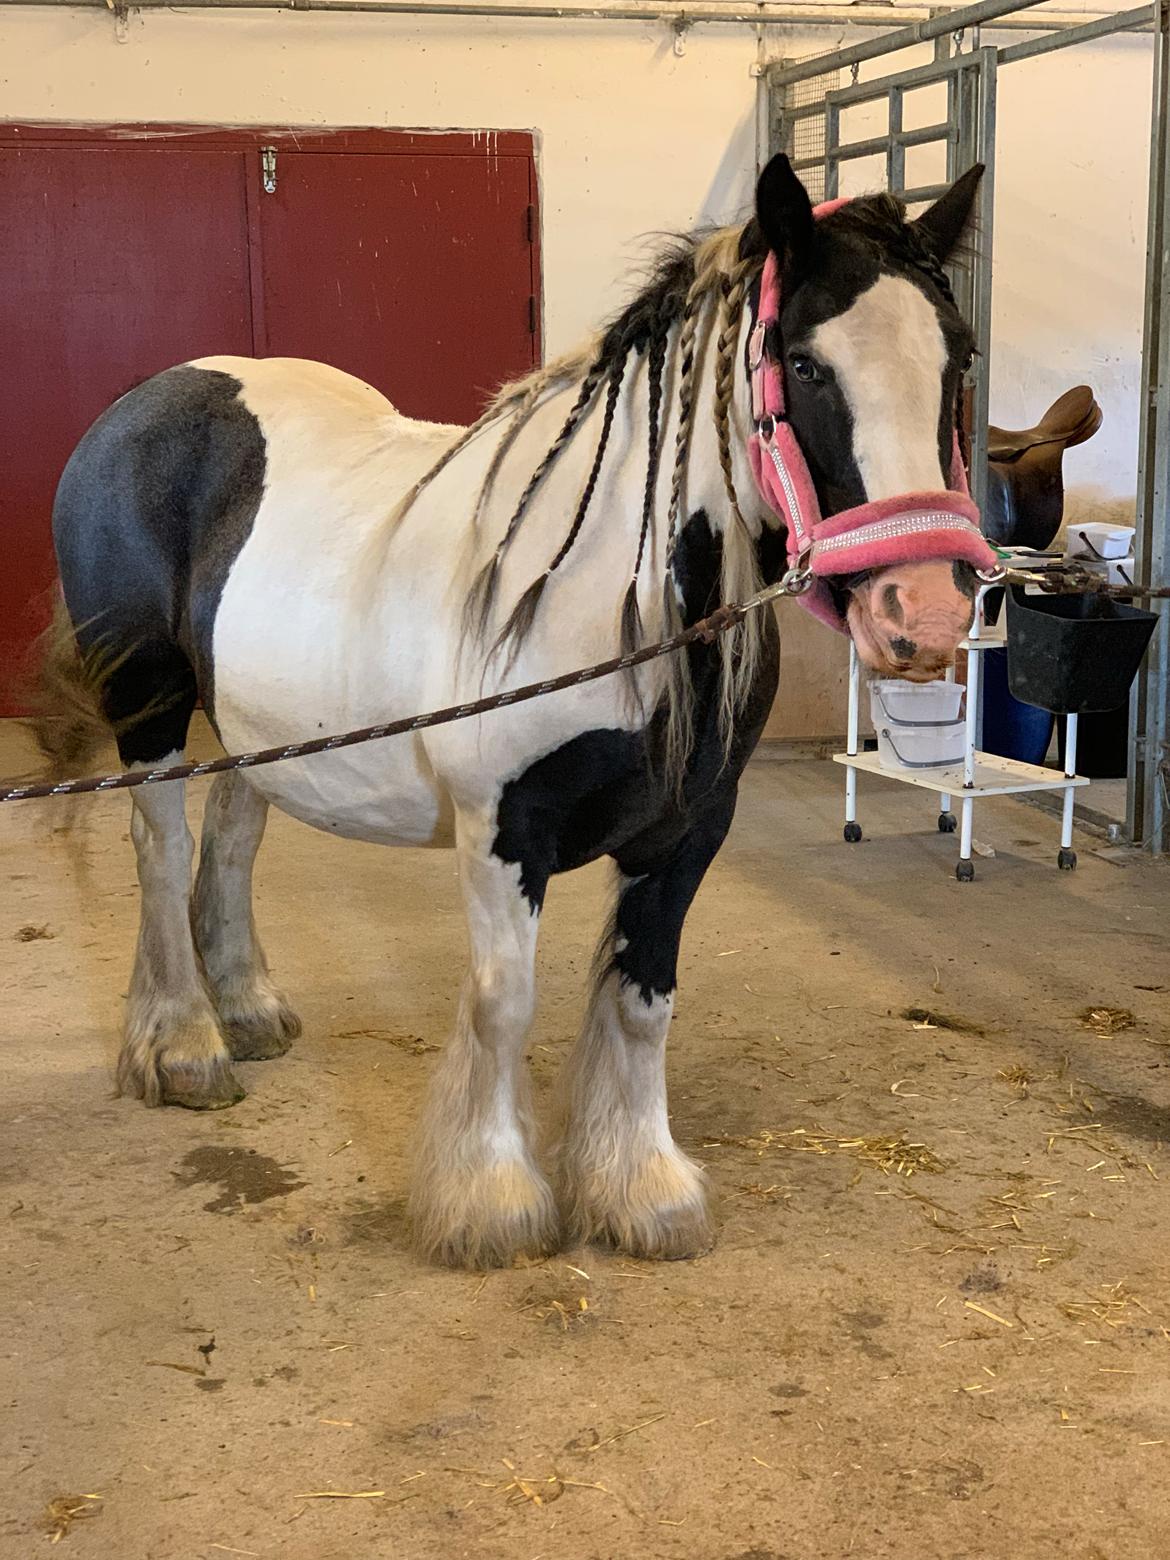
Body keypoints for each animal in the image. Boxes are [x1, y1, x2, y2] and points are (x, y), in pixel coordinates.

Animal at [36, 155, 992, 1266]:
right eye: (803, 363)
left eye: (959, 356)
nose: (921, 613)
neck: (602, 592)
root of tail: (145, 401)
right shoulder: (504, 829)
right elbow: (505, 1004)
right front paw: (490, 1204)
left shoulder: (689, 830)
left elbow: (643, 1001)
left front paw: (641, 1192)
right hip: (150, 703)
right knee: (161, 848)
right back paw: (183, 1044)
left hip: (256, 727)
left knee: (232, 841)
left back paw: (249, 1007)